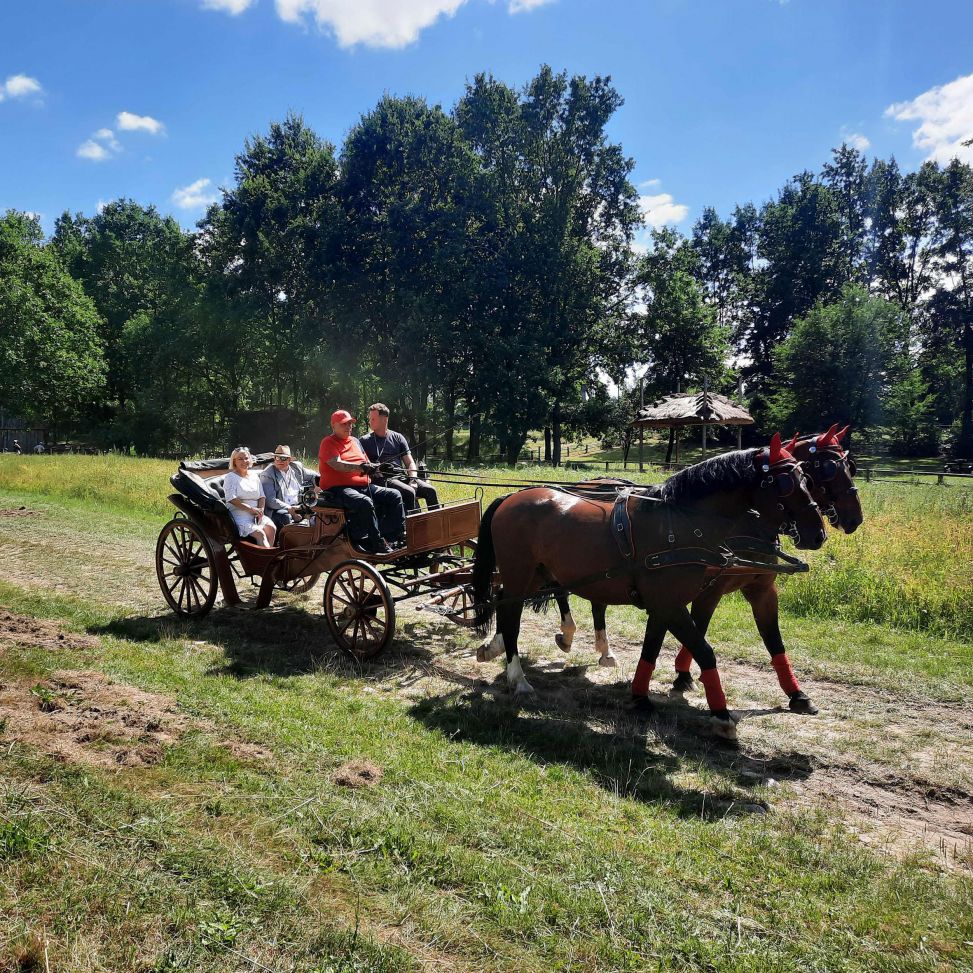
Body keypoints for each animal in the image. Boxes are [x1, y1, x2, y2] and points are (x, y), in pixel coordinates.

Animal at [472, 434, 828, 736]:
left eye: (808, 479)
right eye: (786, 483)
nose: (818, 534)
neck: (679, 525)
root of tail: (512, 496)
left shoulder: (666, 603)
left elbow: (652, 648)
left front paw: (641, 698)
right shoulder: (671, 602)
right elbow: (704, 650)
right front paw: (722, 714)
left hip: (536, 574)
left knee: (506, 605)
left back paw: (500, 651)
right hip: (520, 573)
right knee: (511, 617)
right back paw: (518, 679)